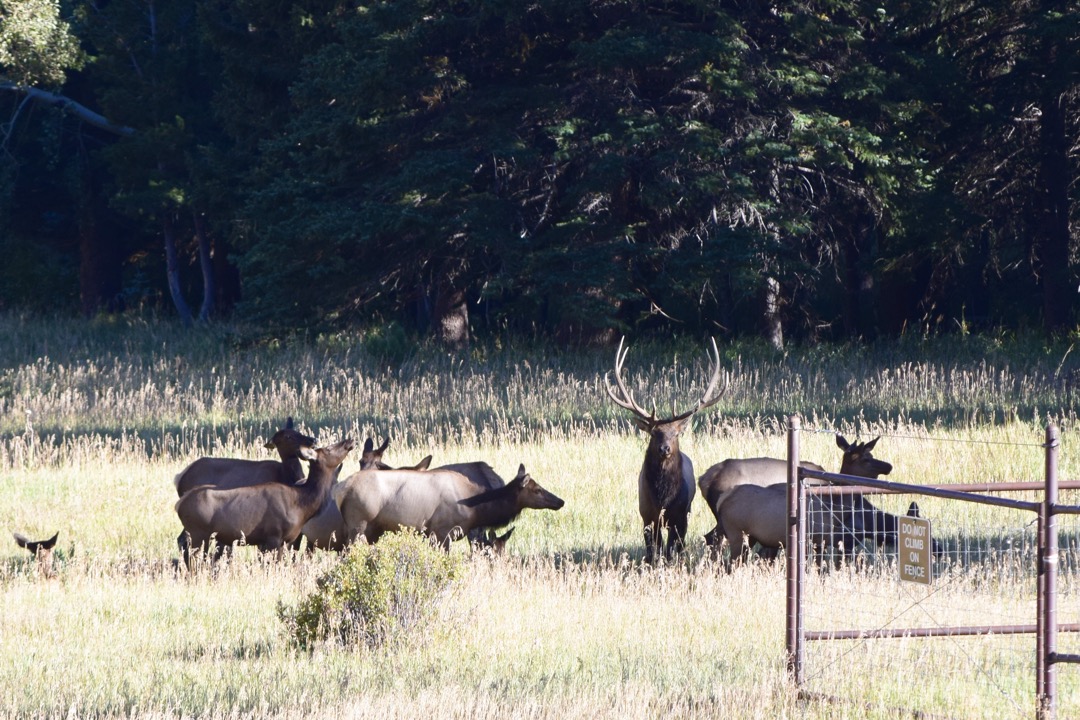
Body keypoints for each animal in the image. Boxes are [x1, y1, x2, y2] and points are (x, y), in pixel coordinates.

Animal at [174, 433, 356, 569]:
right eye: (329, 448)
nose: (349, 440)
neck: (301, 505)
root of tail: (179, 504)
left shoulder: (282, 541)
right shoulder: (273, 536)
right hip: (198, 532)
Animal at [332, 464, 561, 548]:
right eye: (536, 490)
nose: (560, 501)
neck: (476, 511)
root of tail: (340, 489)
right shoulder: (442, 532)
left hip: (372, 530)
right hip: (358, 524)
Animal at [609, 336, 725, 561]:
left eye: (676, 433)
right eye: (654, 433)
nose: (665, 449)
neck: (663, 498)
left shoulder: (679, 516)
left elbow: (672, 548)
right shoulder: (647, 515)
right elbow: (652, 550)